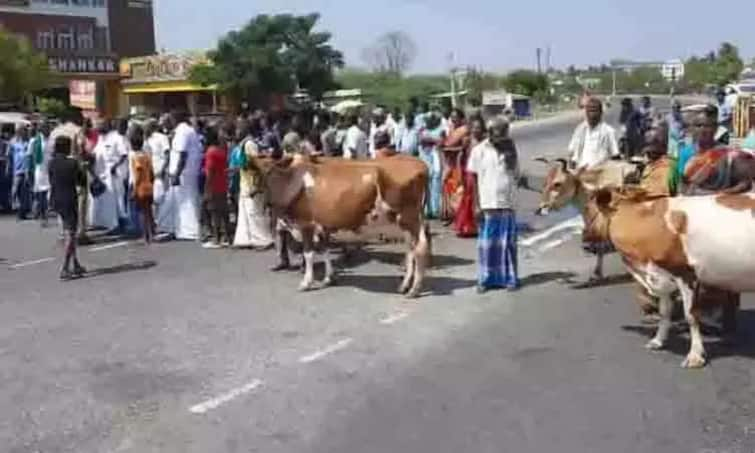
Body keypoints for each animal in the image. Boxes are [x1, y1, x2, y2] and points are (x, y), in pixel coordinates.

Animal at [262, 154, 432, 296]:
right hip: (407, 223)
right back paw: (404, 286)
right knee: (410, 249)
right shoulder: (322, 225)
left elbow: (308, 253)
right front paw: (329, 278)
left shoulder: (306, 224)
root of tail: (420, 163)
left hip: (410, 218)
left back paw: (414, 289)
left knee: (420, 248)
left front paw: (306, 282)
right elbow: (324, 249)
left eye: (267, 172)